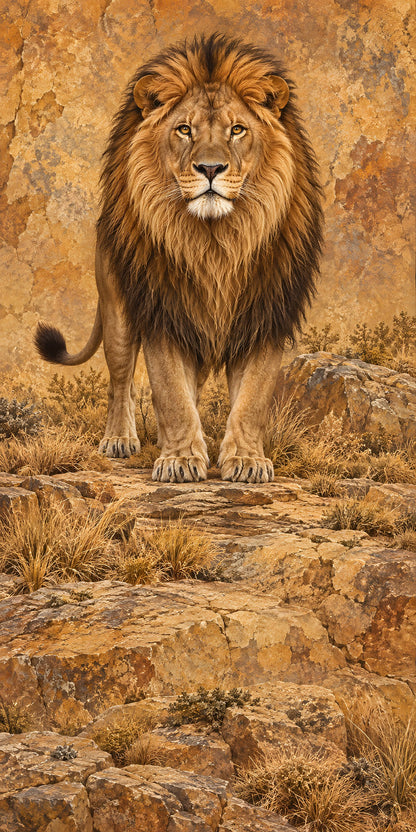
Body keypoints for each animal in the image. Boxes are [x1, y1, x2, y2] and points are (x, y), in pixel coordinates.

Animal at [35, 33, 323, 484]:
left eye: (237, 130)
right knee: (120, 379)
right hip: (118, 312)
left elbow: (252, 398)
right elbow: (170, 391)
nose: (210, 168)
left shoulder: (264, 316)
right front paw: (180, 461)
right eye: (184, 129)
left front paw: (246, 460)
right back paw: (119, 439)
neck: (216, 242)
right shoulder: (164, 314)